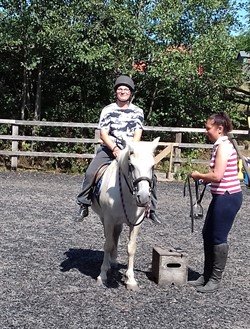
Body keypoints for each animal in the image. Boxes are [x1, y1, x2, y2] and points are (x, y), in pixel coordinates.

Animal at [92, 136, 160, 290]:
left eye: (152, 166)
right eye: (132, 166)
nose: (143, 197)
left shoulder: (136, 223)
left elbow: (131, 248)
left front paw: (131, 280)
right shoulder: (109, 219)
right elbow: (108, 244)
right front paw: (102, 276)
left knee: (115, 236)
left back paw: (114, 261)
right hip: (104, 218)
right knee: (109, 238)